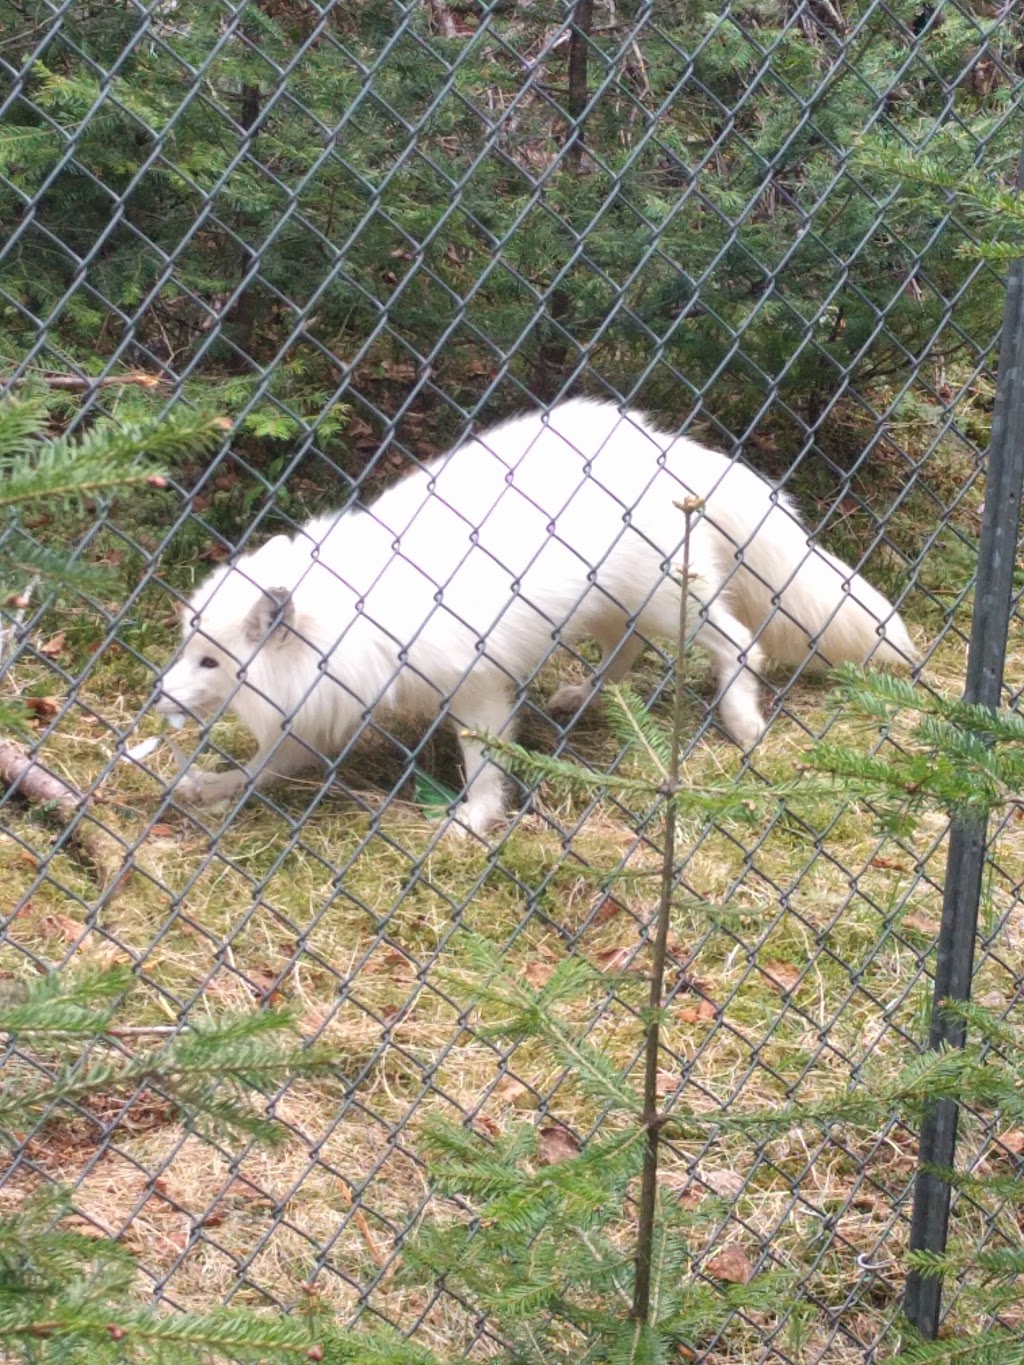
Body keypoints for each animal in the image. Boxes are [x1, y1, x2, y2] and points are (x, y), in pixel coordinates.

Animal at [156, 398, 917, 829]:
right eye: (187, 649)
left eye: (210, 660)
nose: (155, 694)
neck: (355, 612)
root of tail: (663, 443)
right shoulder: (322, 700)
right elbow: (266, 764)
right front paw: (212, 787)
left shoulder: (474, 685)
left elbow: (482, 762)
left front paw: (474, 820)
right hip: (611, 603)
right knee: (625, 650)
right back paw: (588, 697)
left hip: (666, 598)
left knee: (736, 642)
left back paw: (742, 721)